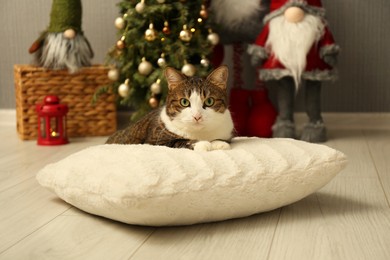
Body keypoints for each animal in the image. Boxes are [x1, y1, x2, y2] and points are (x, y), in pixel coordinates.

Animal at [106, 65, 235, 152]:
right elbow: (178, 141)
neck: (200, 133)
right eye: (184, 102)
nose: (197, 116)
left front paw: (219, 143)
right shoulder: (155, 141)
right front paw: (202, 144)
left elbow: (223, 139)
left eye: (209, 101)